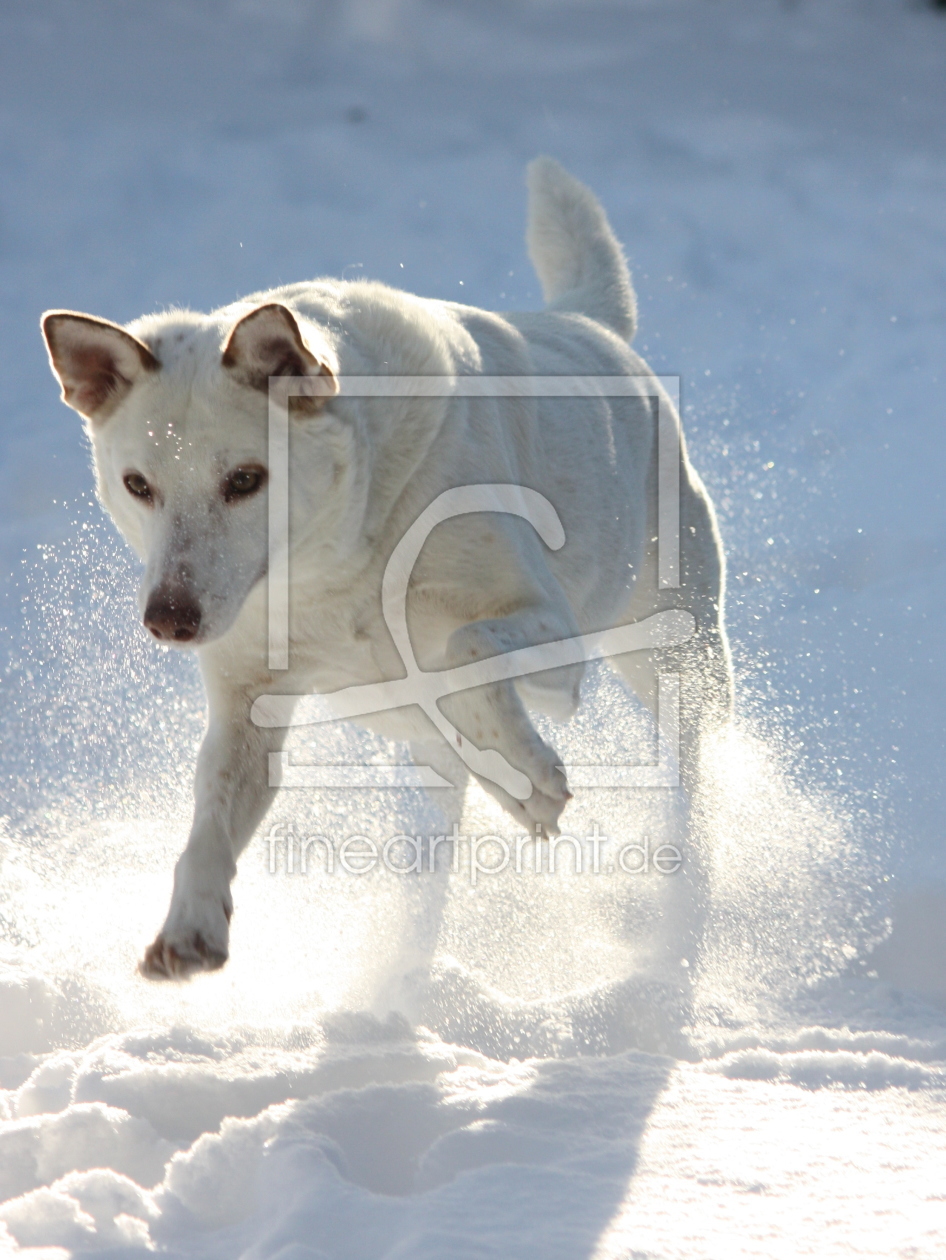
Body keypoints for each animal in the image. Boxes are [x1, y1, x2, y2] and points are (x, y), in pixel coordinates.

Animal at [42, 160, 730, 982]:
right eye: (138, 485)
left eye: (245, 480)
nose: (168, 620)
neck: (341, 559)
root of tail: (592, 327)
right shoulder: (248, 701)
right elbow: (212, 815)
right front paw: (190, 930)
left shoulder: (553, 640)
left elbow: (465, 653)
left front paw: (527, 778)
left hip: (670, 649)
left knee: (693, 765)